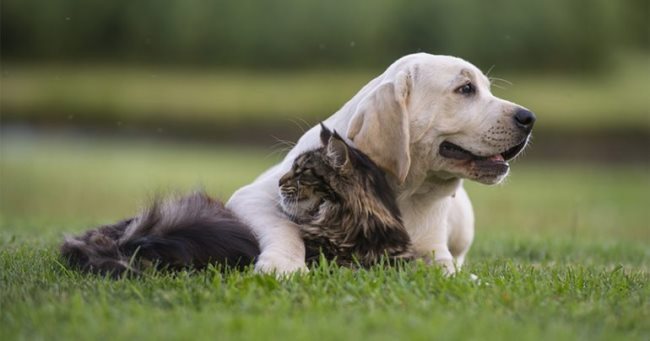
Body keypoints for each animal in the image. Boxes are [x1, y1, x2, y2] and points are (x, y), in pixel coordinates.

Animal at [225, 52, 536, 274]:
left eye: (486, 88)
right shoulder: (252, 196)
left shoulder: (434, 251)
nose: (529, 118)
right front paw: (283, 264)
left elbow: (445, 267)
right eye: (466, 88)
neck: (407, 193)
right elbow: (284, 227)